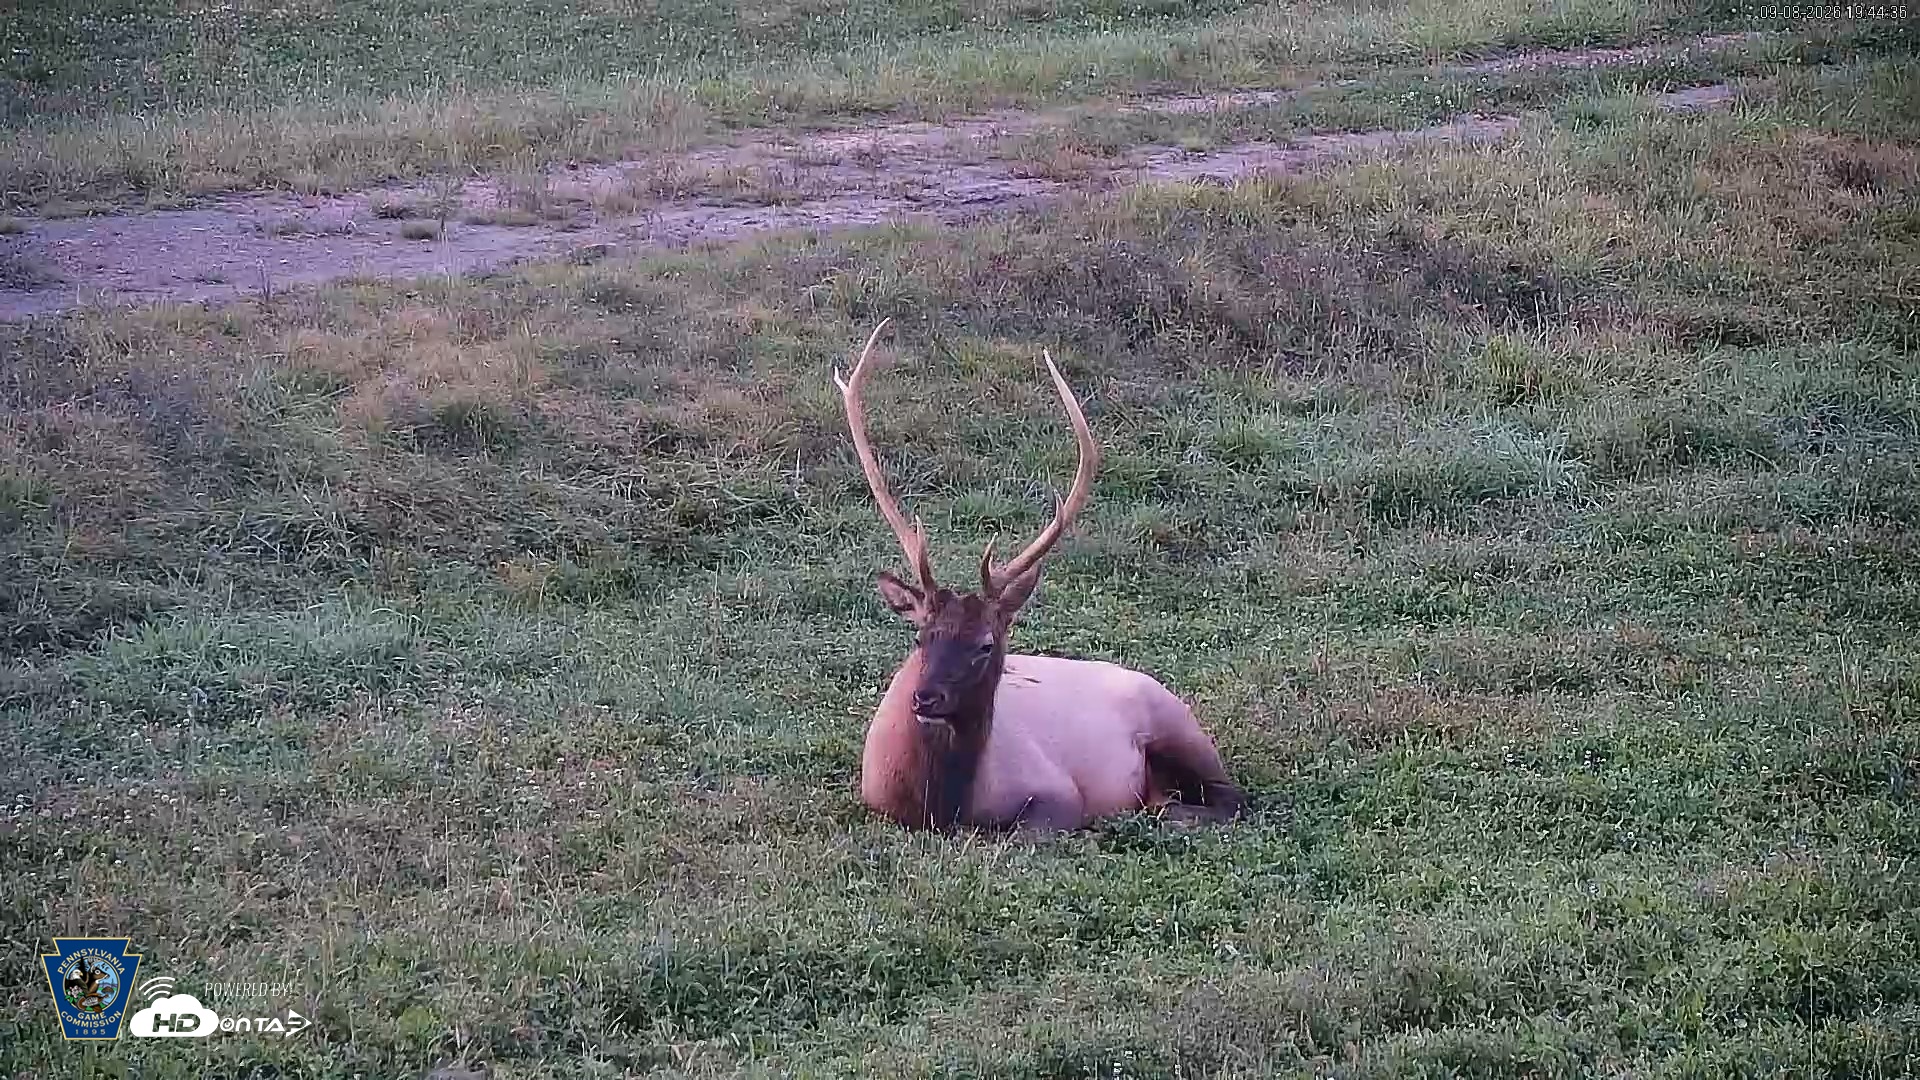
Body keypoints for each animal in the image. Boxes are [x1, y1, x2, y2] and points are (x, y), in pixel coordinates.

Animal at [834, 319, 1247, 834]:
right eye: (920, 637)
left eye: (985, 644)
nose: (925, 698)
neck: (942, 804)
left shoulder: (1058, 793)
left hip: (1182, 727)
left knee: (1232, 797)